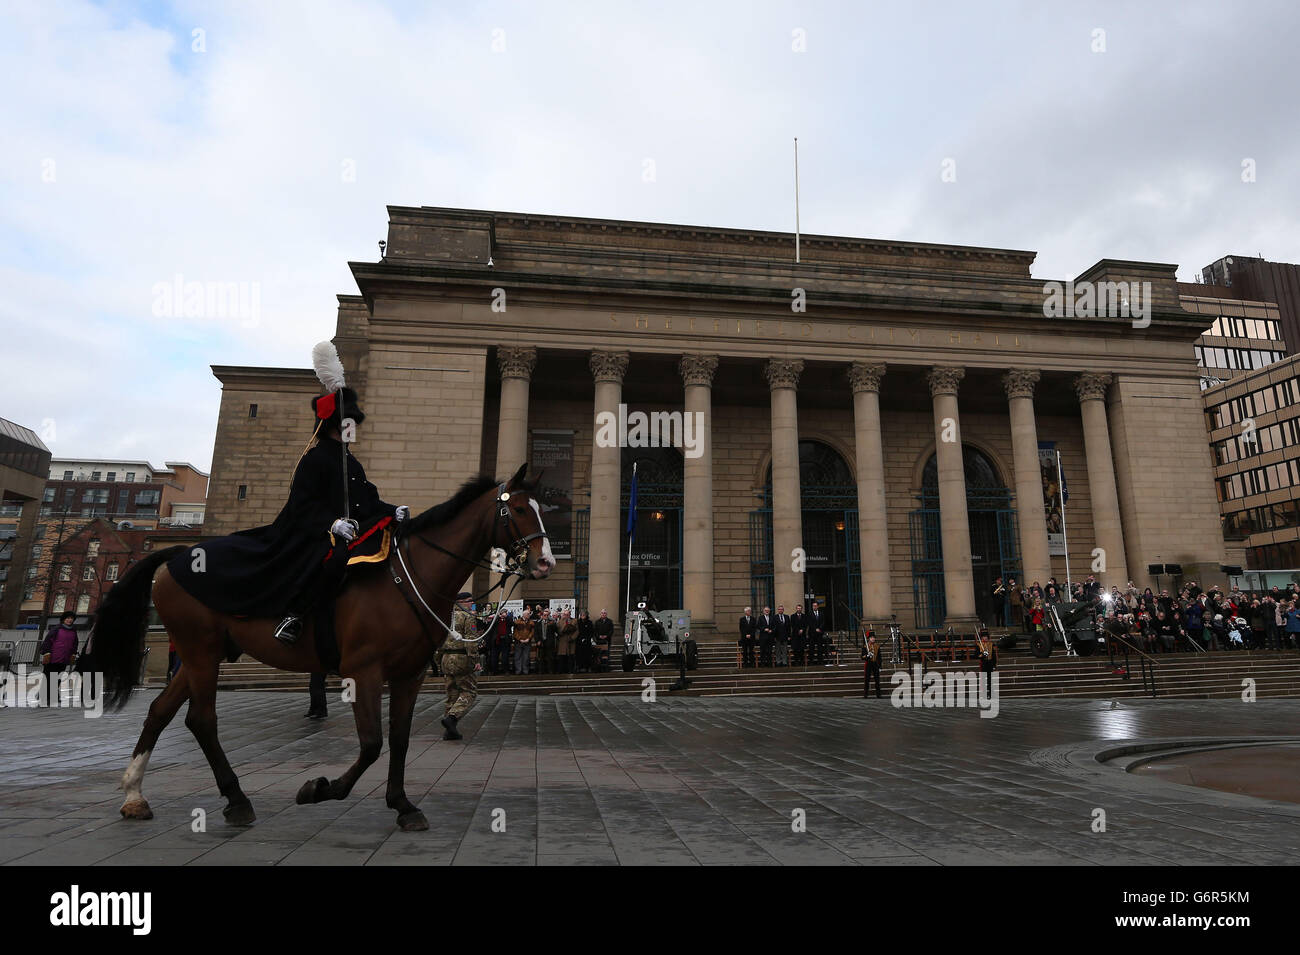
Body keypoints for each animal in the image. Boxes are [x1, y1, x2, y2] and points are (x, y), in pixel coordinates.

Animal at [92, 467, 553, 831]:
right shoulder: (362, 670)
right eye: (519, 510)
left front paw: (402, 805)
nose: (546, 561)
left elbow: (399, 739)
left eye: (543, 508)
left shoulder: (411, 673)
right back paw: (237, 800)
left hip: (200, 654)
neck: (408, 578)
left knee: (161, 711)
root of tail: (177, 553)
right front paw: (321, 788)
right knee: (201, 720)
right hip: (200, 651)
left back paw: (134, 794)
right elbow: (371, 743)